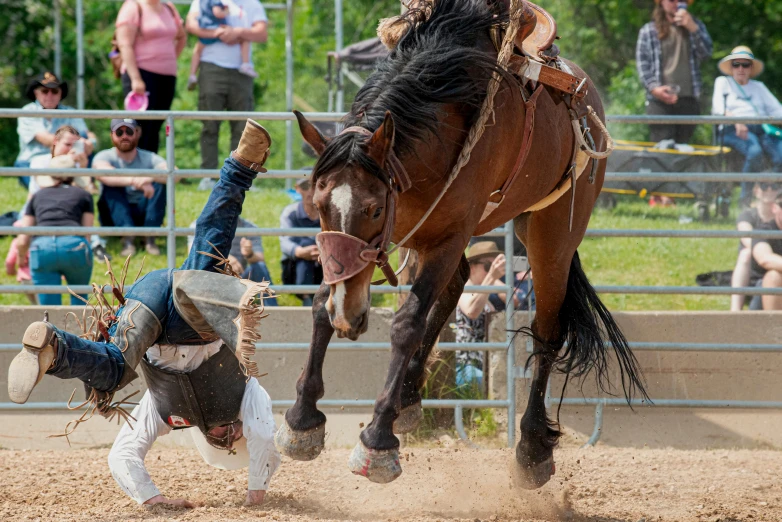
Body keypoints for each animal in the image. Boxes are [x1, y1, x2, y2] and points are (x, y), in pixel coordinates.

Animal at [276, 0, 648, 488]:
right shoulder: (389, 243)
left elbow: (407, 324)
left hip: (550, 235)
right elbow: (323, 305)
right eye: (318, 205)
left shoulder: (446, 236)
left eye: (373, 209)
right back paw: (409, 395)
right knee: (456, 287)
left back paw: (531, 448)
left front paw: (377, 439)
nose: (349, 318)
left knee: (547, 332)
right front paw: (302, 420)